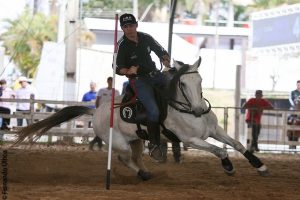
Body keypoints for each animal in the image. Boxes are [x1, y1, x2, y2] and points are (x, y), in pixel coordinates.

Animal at [12, 57, 268, 180]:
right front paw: (228, 167)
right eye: (183, 84)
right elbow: (221, 150)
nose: (198, 109)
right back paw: (142, 174)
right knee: (125, 158)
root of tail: (97, 111)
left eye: (200, 81)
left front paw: (260, 166)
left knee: (136, 156)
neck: (184, 109)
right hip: (120, 143)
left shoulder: (214, 131)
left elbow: (237, 145)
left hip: (136, 140)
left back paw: (148, 170)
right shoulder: (191, 140)